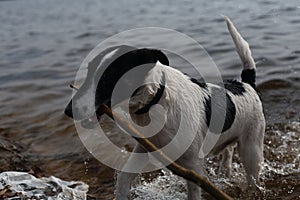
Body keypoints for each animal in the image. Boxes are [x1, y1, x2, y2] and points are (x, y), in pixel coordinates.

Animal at [64, 16, 264, 199]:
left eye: (107, 76)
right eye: (88, 70)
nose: (68, 111)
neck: (155, 100)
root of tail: (245, 84)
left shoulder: (193, 165)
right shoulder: (143, 148)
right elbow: (123, 178)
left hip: (251, 150)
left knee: (252, 177)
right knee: (228, 151)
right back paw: (225, 170)